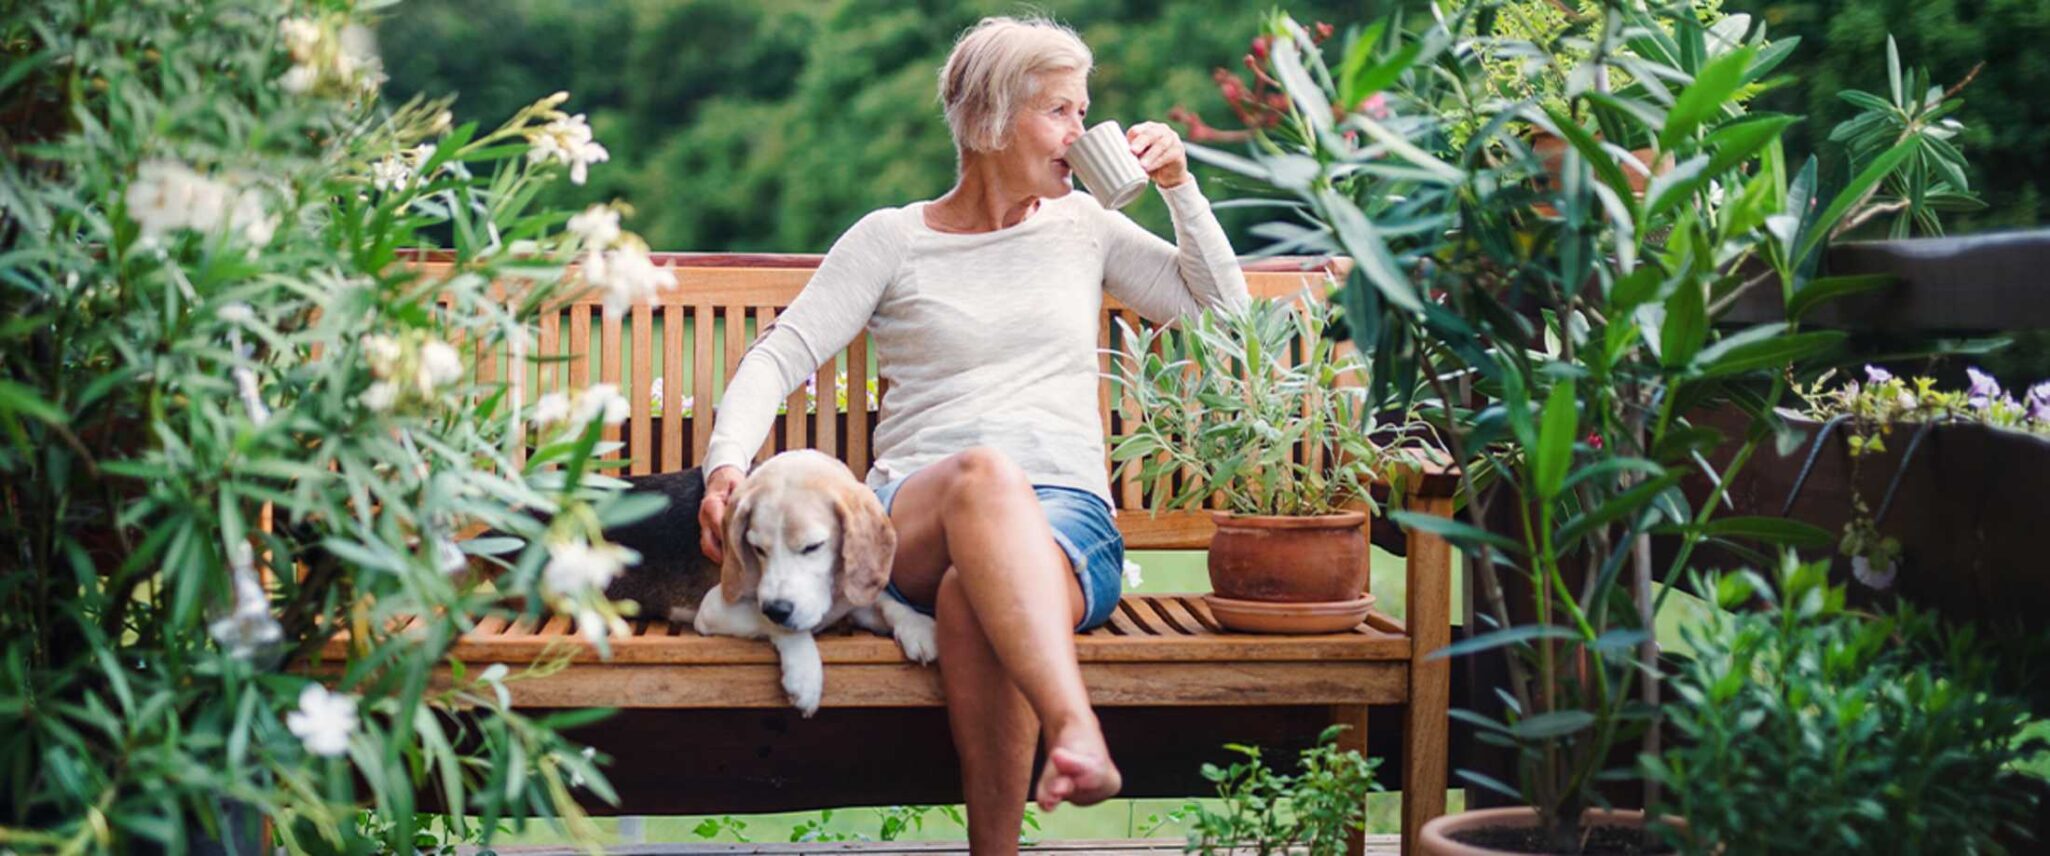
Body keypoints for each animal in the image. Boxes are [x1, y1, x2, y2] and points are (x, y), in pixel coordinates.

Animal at [692, 448, 938, 716]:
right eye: (757, 549)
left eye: (813, 547)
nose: (777, 609)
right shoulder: (712, 608)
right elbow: (772, 621)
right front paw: (804, 675)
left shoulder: (849, 603)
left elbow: (886, 602)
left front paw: (916, 625)